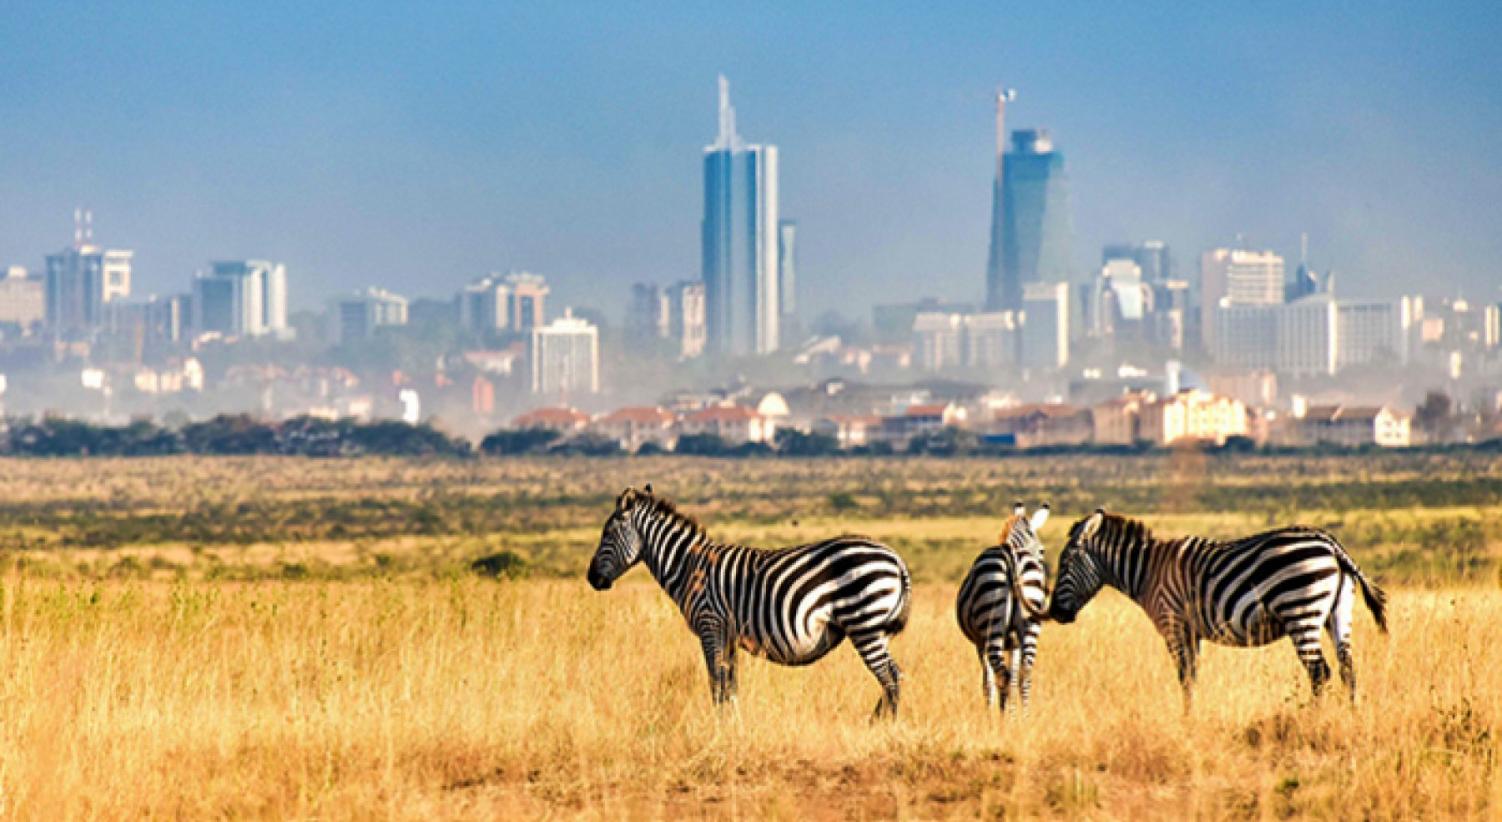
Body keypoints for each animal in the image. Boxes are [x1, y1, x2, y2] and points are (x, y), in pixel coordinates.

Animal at [585, 486, 913, 718]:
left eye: (607, 534)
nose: (591, 578)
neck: (688, 565)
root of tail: (895, 559)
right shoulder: (728, 633)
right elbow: (730, 685)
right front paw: (734, 724)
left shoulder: (710, 625)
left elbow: (716, 682)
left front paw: (719, 728)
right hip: (876, 628)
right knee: (892, 676)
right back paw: (877, 722)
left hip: (864, 623)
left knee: (890, 677)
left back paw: (882, 727)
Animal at [955, 501, 1051, 715]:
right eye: (1042, 551)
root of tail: (1012, 554)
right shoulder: (1014, 643)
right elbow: (1015, 677)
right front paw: (1012, 712)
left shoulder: (979, 643)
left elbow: (987, 682)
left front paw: (990, 714)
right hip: (1031, 625)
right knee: (1025, 675)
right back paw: (1024, 718)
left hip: (991, 625)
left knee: (1003, 676)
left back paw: (1003, 718)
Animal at [1045, 510, 1381, 703]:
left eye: (1064, 563)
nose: (1055, 614)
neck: (1147, 571)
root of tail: (1331, 544)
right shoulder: (1190, 631)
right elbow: (1192, 676)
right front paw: (1192, 718)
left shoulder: (1172, 624)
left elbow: (1184, 677)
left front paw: (1186, 723)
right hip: (1338, 613)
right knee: (1348, 669)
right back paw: (1350, 719)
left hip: (1301, 610)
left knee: (1319, 673)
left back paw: (1312, 720)